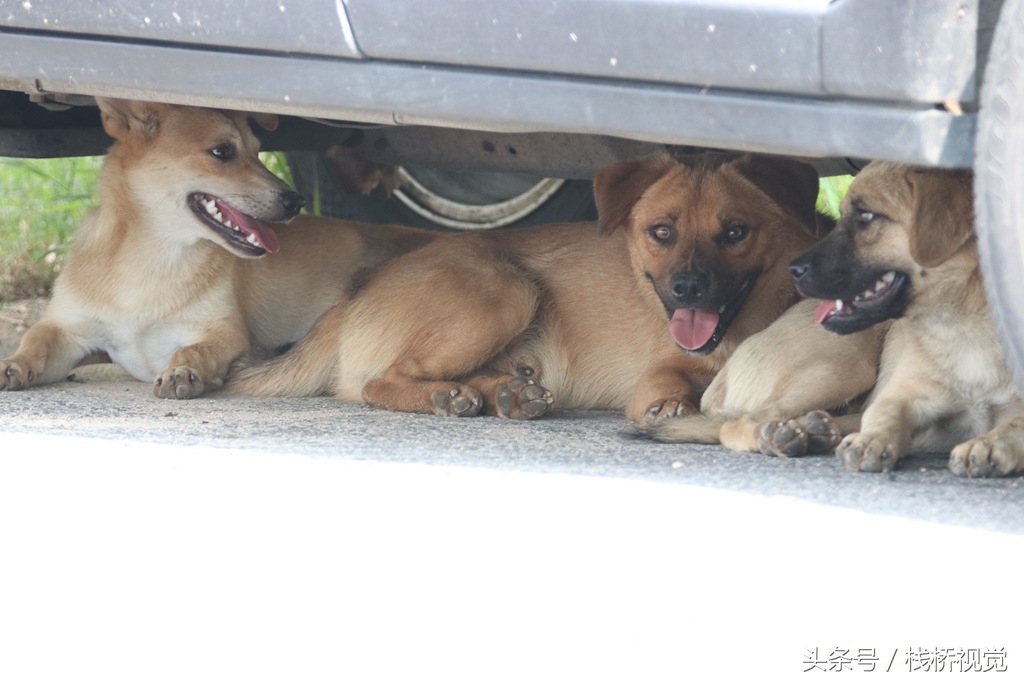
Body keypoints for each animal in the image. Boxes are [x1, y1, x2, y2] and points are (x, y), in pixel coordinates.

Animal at [1, 101, 432, 401]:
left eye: (258, 150)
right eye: (222, 152)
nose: (295, 201)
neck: (150, 260)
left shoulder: (223, 333)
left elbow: (193, 350)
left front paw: (182, 372)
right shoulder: (66, 330)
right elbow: (35, 341)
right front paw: (13, 364)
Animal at [228, 152, 827, 423]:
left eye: (736, 232)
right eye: (662, 232)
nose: (687, 290)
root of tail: (351, 301)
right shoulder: (660, 370)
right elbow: (669, 389)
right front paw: (673, 407)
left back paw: (506, 394)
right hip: (506, 290)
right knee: (381, 381)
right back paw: (451, 397)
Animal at [655, 162, 1024, 479]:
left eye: (866, 216)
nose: (794, 269)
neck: (962, 328)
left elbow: (1013, 427)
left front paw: (988, 445)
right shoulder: (902, 394)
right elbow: (885, 413)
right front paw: (873, 441)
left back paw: (812, 431)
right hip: (841, 368)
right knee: (736, 424)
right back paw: (779, 436)